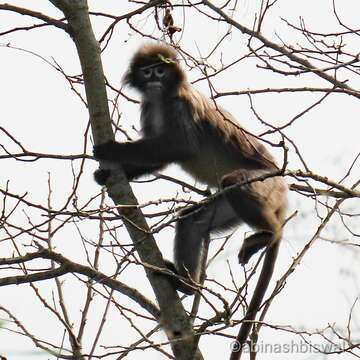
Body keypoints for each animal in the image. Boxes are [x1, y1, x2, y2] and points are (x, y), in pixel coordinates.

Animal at [93, 43, 286, 354]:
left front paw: (113, 149)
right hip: (234, 204)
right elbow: (160, 160)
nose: (154, 78)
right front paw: (105, 175)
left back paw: (269, 234)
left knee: (234, 183)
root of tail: (283, 188)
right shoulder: (149, 106)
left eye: (161, 70)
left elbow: (179, 147)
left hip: (265, 183)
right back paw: (186, 285)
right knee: (191, 222)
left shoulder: (180, 105)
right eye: (147, 71)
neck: (162, 98)